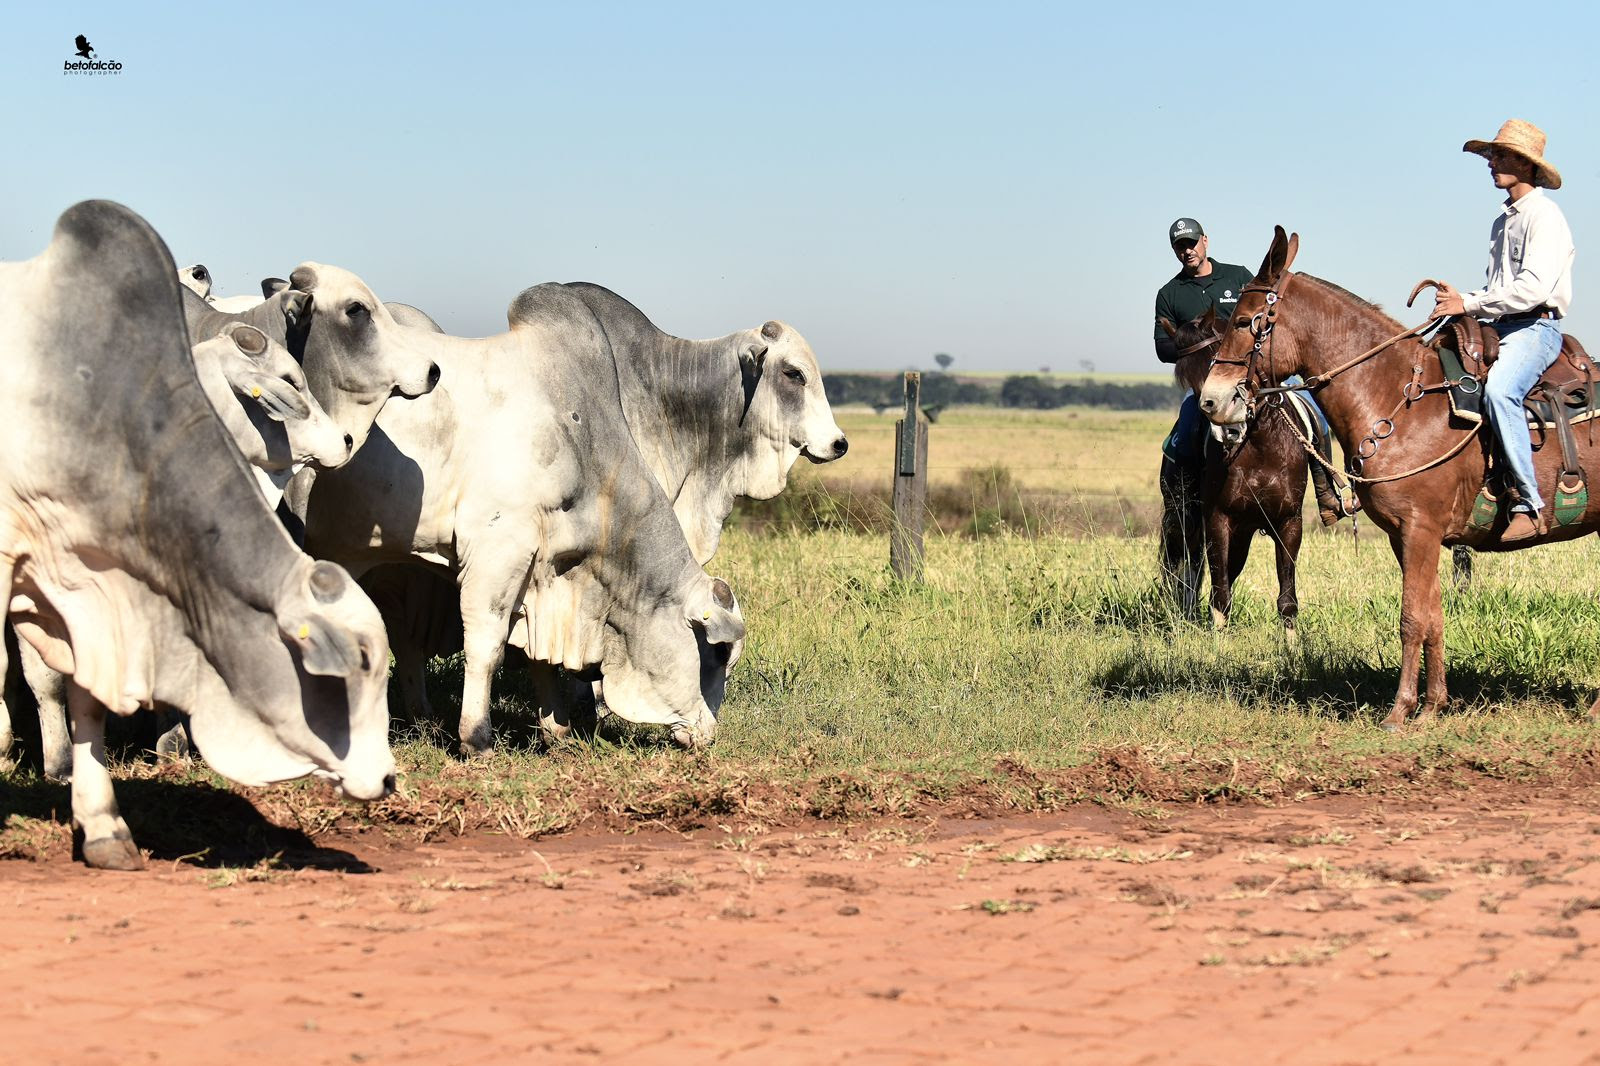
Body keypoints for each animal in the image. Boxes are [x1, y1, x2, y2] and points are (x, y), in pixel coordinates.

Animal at [297, 278, 745, 752]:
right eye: (718, 652)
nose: (709, 733)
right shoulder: (497, 550)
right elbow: (487, 646)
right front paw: (476, 736)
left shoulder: (543, 570)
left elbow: (538, 658)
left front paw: (557, 731)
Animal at [1203, 222, 1593, 723]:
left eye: (1243, 320)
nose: (1212, 401)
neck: (1399, 398)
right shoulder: (1406, 536)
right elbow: (1432, 617)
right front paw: (1431, 707)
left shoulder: (1421, 529)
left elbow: (1411, 618)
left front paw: (1400, 712)